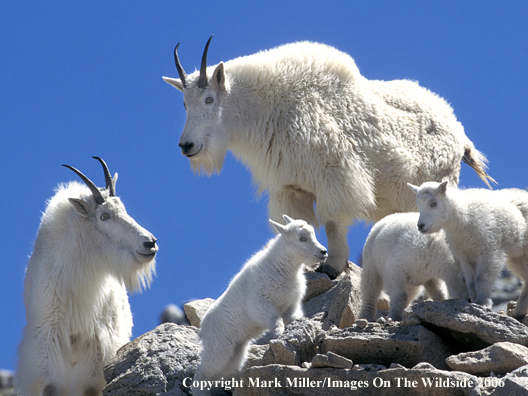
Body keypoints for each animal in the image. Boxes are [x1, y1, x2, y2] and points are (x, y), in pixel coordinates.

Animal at [15, 158, 158, 396]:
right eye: (104, 216)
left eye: (124, 209)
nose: (150, 243)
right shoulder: (49, 337)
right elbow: (51, 385)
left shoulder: (98, 340)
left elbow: (89, 387)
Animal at [164, 38, 496, 278]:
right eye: (183, 103)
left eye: (209, 99)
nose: (186, 145)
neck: (271, 107)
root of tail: (461, 135)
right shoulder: (290, 187)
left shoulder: (334, 174)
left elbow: (334, 222)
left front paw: (332, 265)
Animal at [192, 217, 328, 396]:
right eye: (302, 238)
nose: (323, 252)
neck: (282, 268)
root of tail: (203, 329)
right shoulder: (260, 304)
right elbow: (275, 320)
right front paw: (279, 333)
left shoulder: (291, 305)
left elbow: (293, 318)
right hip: (218, 346)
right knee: (202, 374)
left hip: (235, 353)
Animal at [408, 181, 528, 320]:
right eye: (418, 204)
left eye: (433, 203)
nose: (420, 226)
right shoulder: (465, 256)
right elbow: (470, 282)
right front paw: (474, 301)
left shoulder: (488, 251)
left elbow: (481, 278)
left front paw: (483, 303)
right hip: (519, 256)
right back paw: (519, 312)